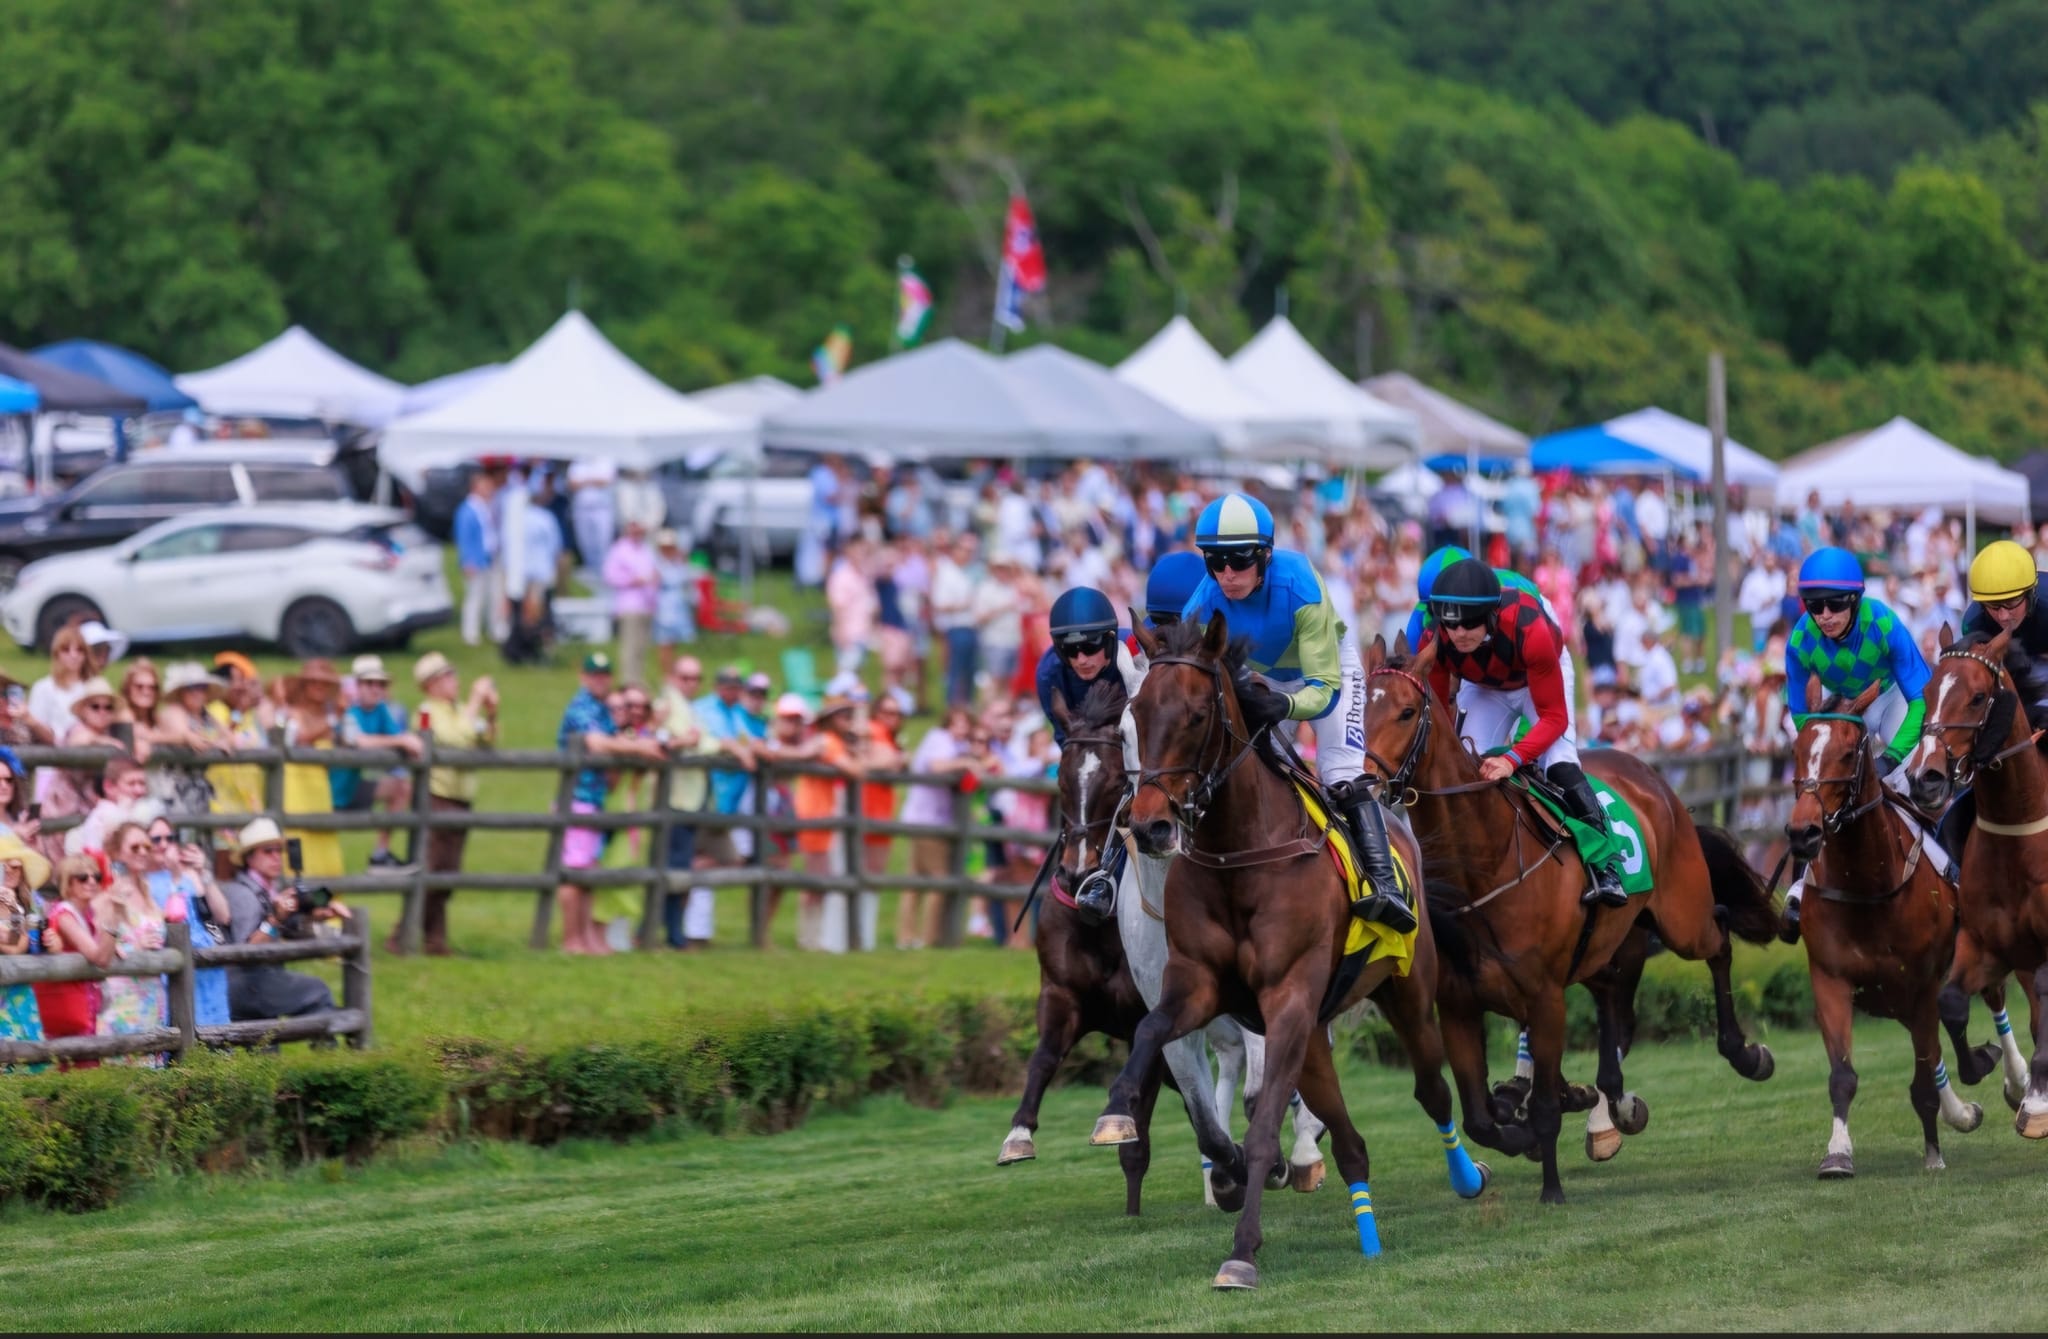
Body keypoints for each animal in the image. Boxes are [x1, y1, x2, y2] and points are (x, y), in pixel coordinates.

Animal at [1089, 618, 1474, 1293]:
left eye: (1196, 715)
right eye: (1131, 719)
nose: (1152, 827)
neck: (1238, 853)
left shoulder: (1286, 998)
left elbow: (1263, 1118)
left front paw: (1243, 1249)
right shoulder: (1195, 986)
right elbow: (1155, 1041)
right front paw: (1120, 1115)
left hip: (1403, 992)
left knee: (1432, 1088)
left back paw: (1467, 1177)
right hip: (1314, 1035)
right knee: (1348, 1135)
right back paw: (1364, 1228)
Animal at [1359, 634, 1777, 1212]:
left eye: (1404, 711)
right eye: (1359, 708)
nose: (1360, 782)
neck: (1484, 860)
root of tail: (1653, 778)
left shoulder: (1545, 998)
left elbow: (1540, 1109)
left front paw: (1551, 1186)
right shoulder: (1459, 1005)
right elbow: (1480, 1117)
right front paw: (1525, 1127)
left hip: (1680, 918)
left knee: (1717, 936)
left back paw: (1743, 1053)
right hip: (1610, 942)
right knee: (1615, 1004)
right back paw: (1607, 1101)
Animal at [1794, 683, 1982, 1179]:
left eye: (1846, 754)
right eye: (1797, 750)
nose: (1802, 832)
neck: (1868, 886)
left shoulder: (1921, 986)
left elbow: (1924, 1078)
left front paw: (1934, 1153)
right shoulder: (1831, 979)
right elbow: (1842, 1077)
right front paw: (1837, 1154)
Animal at [1900, 630, 2048, 1146]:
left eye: (1979, 697)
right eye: (1927, 692)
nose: (1924, 777)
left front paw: (2034, 1102)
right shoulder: (1985, 942)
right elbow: (1950, 1004)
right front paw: (1980, 1068)